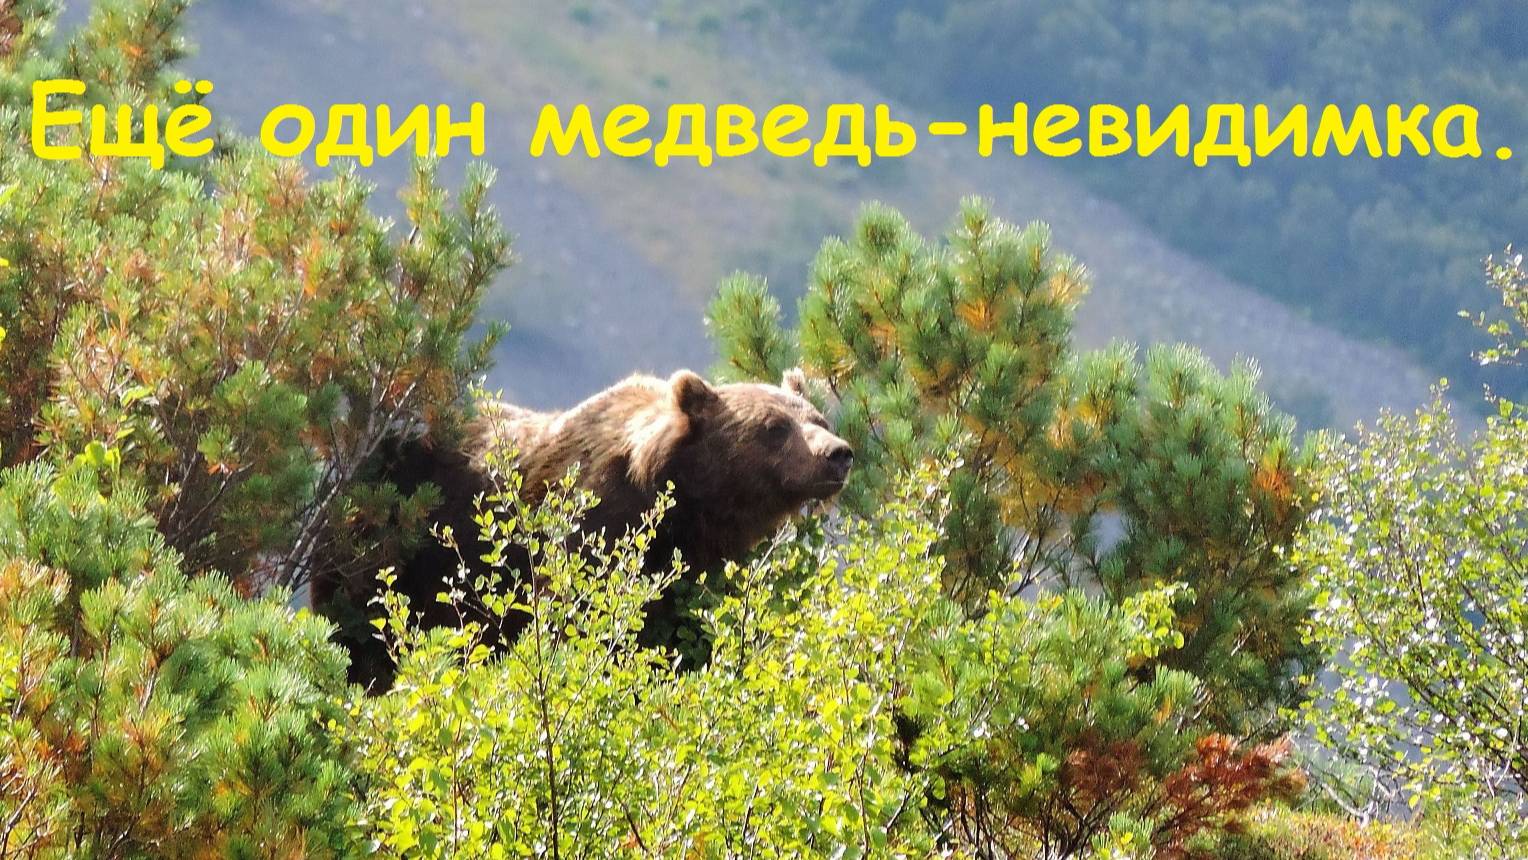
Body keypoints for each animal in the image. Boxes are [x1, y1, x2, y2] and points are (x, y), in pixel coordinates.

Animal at [319, 368, 853, 686]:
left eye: (818, 418)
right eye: (774, 427)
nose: (838, 453)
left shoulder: (700, 563)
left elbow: (686, 633)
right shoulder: (593, 522)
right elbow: (575, 616)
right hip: (383, 553)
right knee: (364, 639)